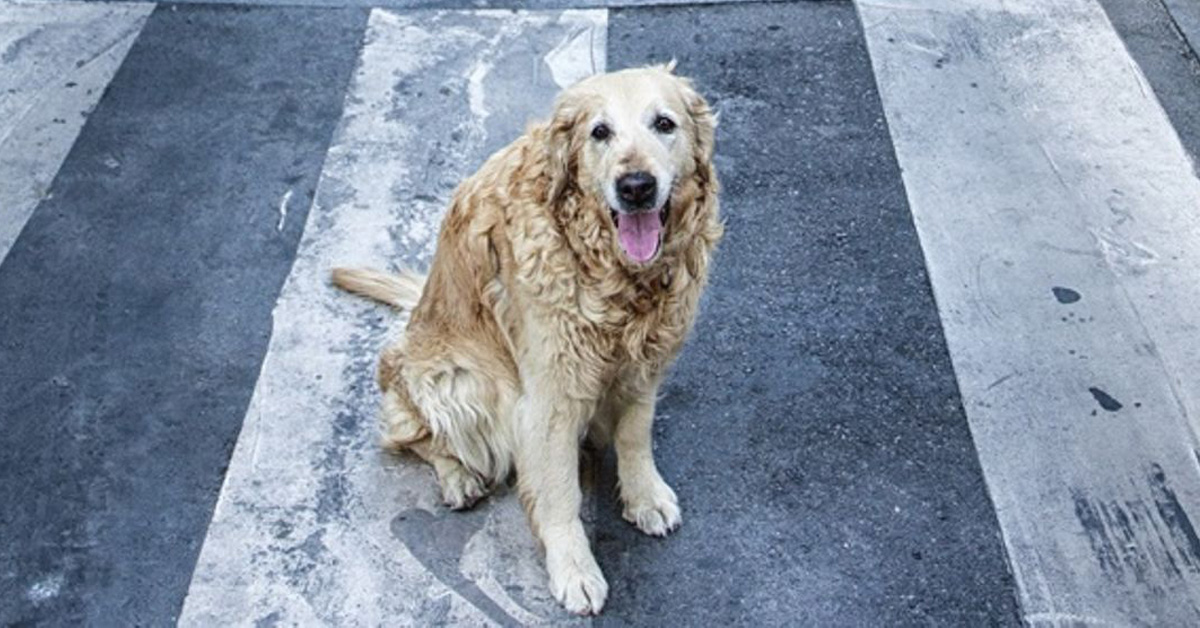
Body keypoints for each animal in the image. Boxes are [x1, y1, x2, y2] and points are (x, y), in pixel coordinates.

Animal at [333, 63, 715, 614]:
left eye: (664, 123)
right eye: (600, 132)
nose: (636, 187)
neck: (613, 275)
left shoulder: (644, 366)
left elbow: (634, 435)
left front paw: (644, 496)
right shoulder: (548, 397)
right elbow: (560, 493)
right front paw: (575, 569)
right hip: (455, 380)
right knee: (414, 435)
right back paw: (459, 477)